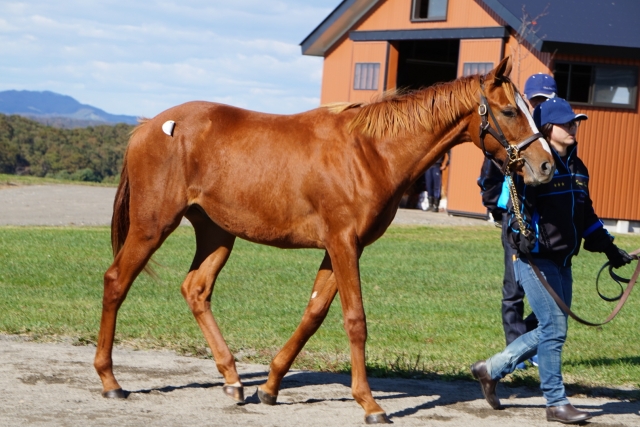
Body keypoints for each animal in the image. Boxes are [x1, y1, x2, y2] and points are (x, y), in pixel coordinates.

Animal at [94, 57, 556, 424]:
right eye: (510, 110)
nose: (547, 166)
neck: (370, 151)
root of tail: (148, 126)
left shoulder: (343, 248)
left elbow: (314, 313)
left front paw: (271, 386)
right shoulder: (343, 244)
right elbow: (355, 321)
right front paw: (370, 404)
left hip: (216, 232)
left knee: (196, 289)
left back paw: (233, 380)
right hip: (153, 225)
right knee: (116, 281)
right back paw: (110, 379)